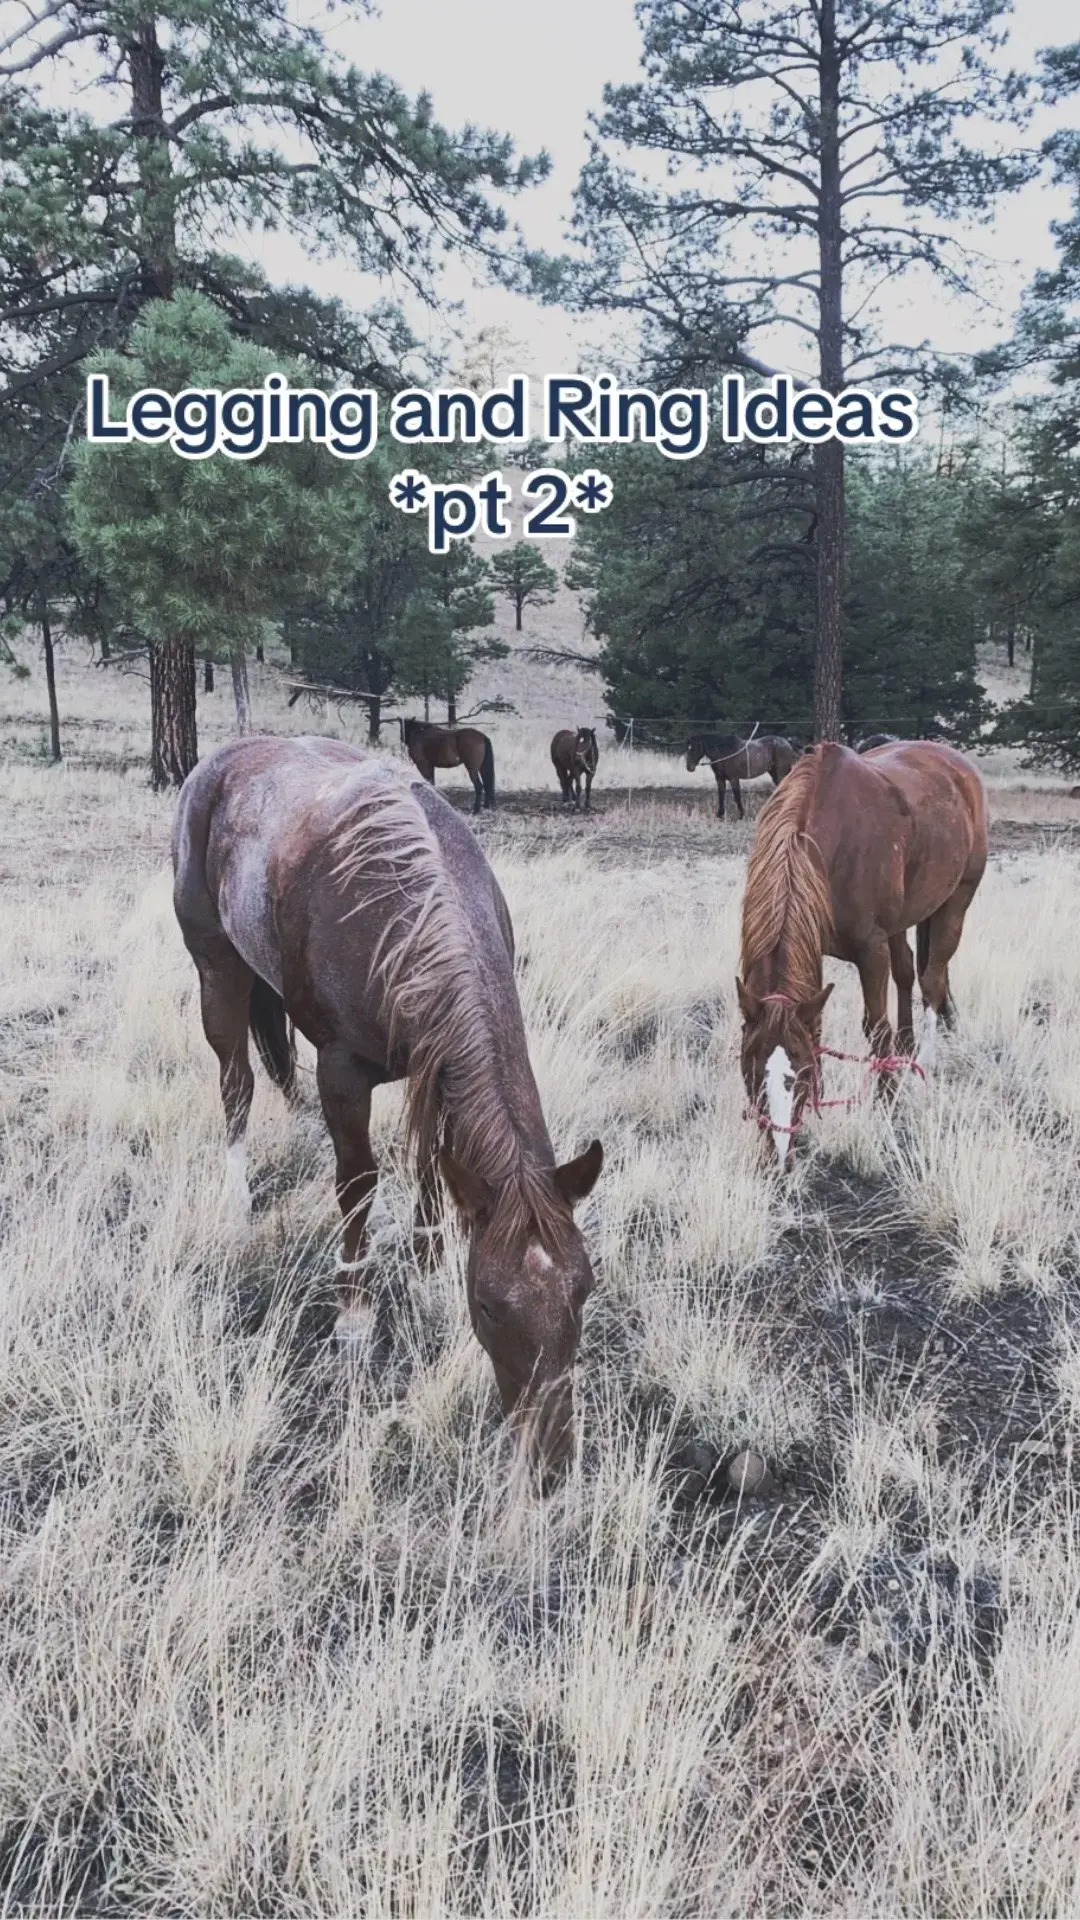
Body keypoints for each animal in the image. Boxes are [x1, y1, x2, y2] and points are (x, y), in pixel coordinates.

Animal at [171, 733, 599, 1482]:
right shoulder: (343, 1076)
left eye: (585, 1290)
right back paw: (237, 1202)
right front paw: (354, 1315)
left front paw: (427, 1264)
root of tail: (220, 762)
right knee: (236, 1085)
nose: (549, 1466)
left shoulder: (434, 1069)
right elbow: (359, 1184)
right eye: (487, 1305)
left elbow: (433, 1162)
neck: (413, 911)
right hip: (216, 969)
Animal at [730, 737, 983, 1159]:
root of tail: (958, 766)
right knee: (907, 971)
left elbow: (876, 1028)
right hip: (903, 920)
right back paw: (906, 1049)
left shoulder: (871, 951)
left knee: (932, 981)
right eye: (749, 1069)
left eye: (803, 1070)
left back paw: (922, 1065)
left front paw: (888, 1102)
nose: (780, 1156)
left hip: (957, 900)